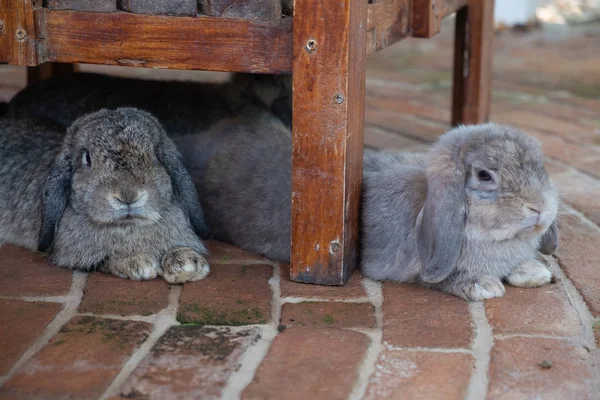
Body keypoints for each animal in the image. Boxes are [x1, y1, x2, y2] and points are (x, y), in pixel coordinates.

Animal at [0, 108, 211, 282]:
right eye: (87, 159)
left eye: (156, 155)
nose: (128, 195)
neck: (129, 226)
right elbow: (104, 260)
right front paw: (137, 264)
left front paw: (188, 263)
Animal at [176, 115, 560, 300]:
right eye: (484, 175)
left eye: (540, 165)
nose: (540, 208)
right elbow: (434, 279)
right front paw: (483, 286)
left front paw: (532, 270)